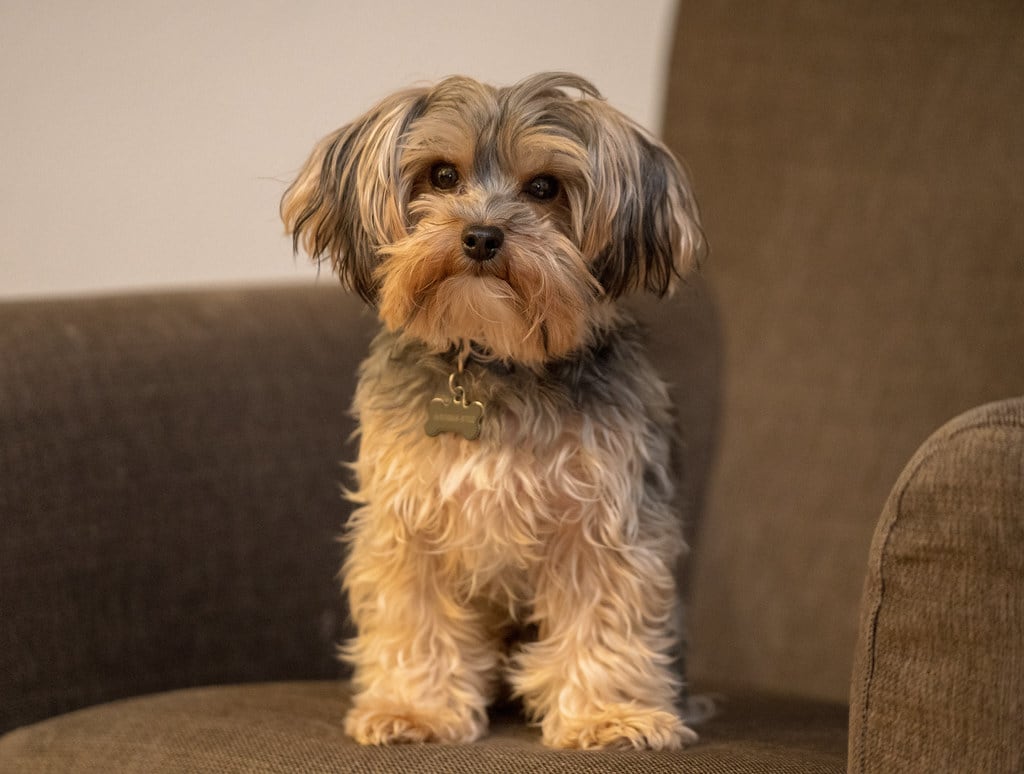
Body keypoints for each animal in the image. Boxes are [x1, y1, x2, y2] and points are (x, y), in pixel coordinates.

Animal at [284, 72, 708, 749]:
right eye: (442, 176)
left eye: (544, 188)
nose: (481, 236)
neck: (492, 359)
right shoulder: (410, 519)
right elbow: (415, 616)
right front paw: (416, 709)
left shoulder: (602, 520)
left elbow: (604, 614)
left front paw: (606, 715)